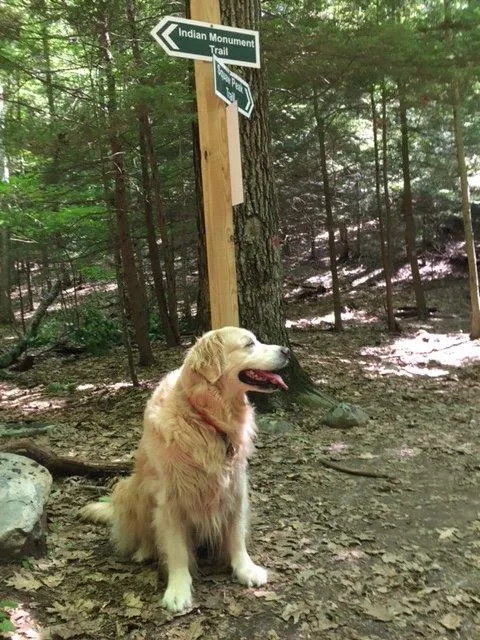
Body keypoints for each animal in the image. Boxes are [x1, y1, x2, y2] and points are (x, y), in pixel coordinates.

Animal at [80, 328, 288, 612]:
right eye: (249, 344)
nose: (287, 350)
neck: (205, 419)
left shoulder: (234, 488)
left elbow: (236, 537)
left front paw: (245, 568)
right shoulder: (170, 499)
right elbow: (176, 549)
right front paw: (178, 590)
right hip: (127, 489)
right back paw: (144, 551)